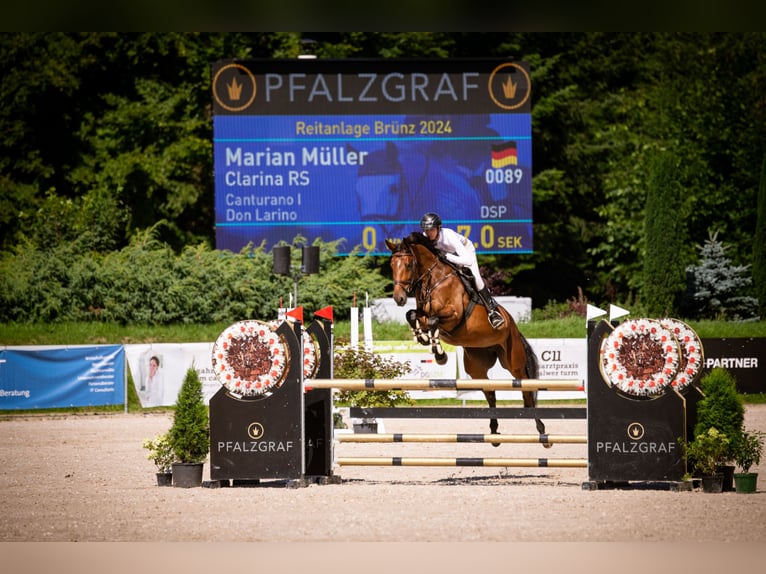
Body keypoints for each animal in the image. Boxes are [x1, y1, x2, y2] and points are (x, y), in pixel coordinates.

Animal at [388, 232, 548, 448]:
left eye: (408, 264)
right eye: (391, 265)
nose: (399, 298)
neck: (434, 280)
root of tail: (513, 325)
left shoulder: (453, 315)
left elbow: (433, 320)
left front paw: (439, 354)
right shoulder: (422, 313)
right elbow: (412, 315)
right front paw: (423, 338)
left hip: (514, 361)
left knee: (527, 391)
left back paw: (542, 432)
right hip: (476, 365)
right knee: (490, 392)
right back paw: (494, 433)